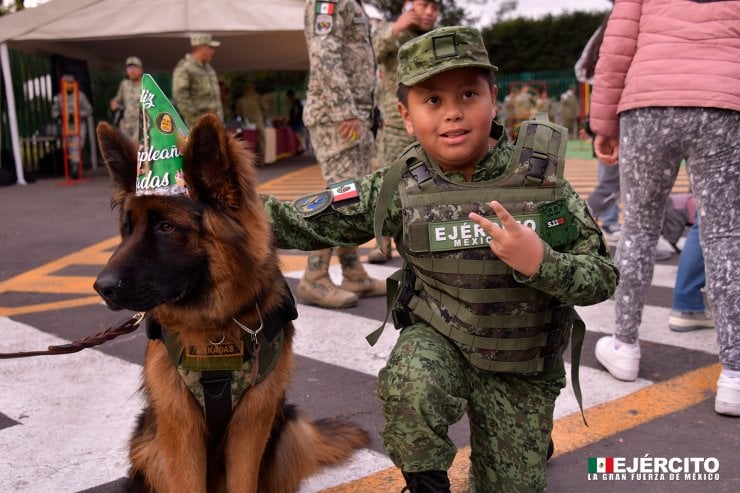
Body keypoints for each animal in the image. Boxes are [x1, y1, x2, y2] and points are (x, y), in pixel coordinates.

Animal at [94, 115, 368, 492]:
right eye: (127, 227)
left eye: (166, 227)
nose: (101, 287)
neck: (216, 328)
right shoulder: (179, 428)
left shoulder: (252, 422)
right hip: (148, 446)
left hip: (288, 433)